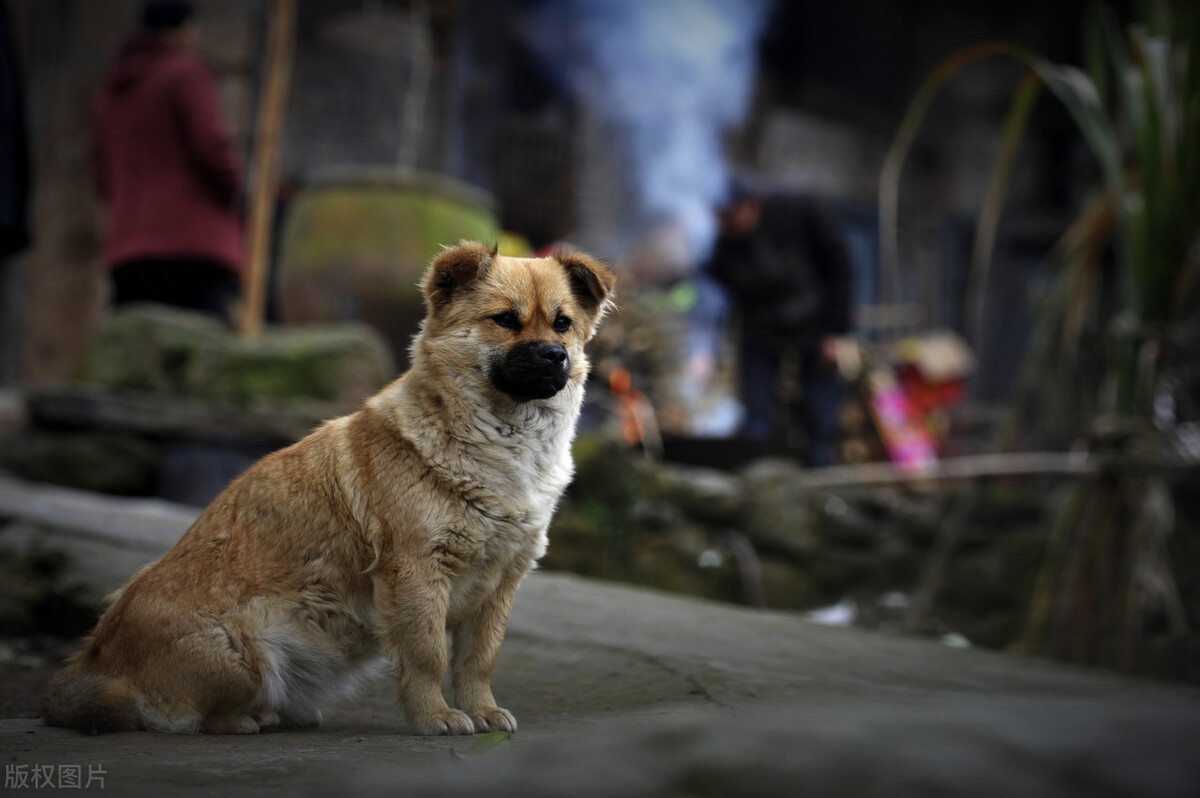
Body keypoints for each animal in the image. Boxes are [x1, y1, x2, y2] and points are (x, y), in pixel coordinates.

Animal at [42, 241, 614, 734]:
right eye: (506, 321)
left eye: (563, 324)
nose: (554, 356)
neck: (502, 442)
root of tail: (98, 664)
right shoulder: (417, 571)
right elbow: (428, 654)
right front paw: (435, 717)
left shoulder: (501, 583)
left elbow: (478, 660)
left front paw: (482, 710)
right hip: (245, 653)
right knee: (180, 716)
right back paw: (246, 718)